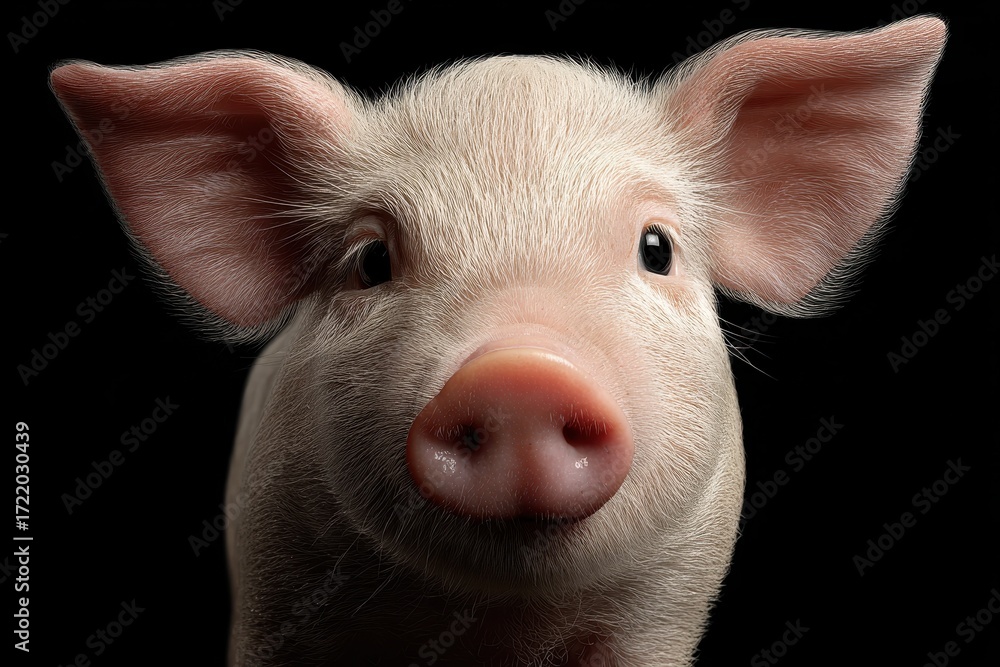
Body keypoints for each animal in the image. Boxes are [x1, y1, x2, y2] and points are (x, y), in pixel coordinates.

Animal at [49, 15, 946, 666]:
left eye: (656, 248)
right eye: (371, 260)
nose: (522, 372)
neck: (496, 624)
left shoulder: (664, 605)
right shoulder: (271, 587)